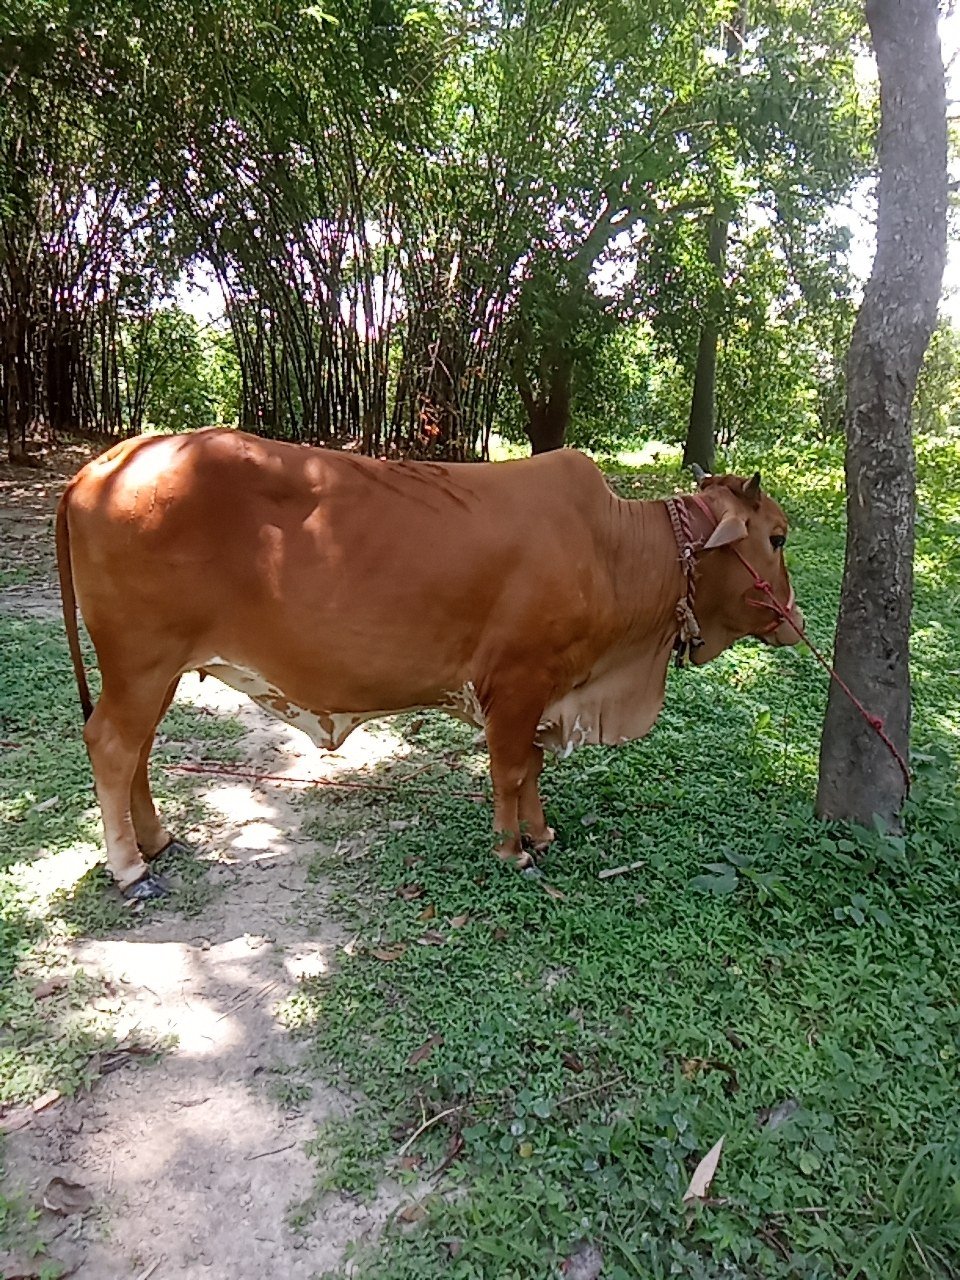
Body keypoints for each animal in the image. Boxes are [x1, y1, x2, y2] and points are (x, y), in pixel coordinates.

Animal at [55, 429, 803, 901]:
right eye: (777, 537)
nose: (795, 620)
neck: (613, 549)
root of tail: (103, 464)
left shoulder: (543, 690)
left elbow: (532, 768)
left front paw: (541, 832)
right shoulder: (519, 684)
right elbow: (509, 771)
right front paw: (511, 850)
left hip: (157, 669)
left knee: (137, 751)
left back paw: (157, 840)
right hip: (141, 661)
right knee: (112, 746)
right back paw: (129, 869)